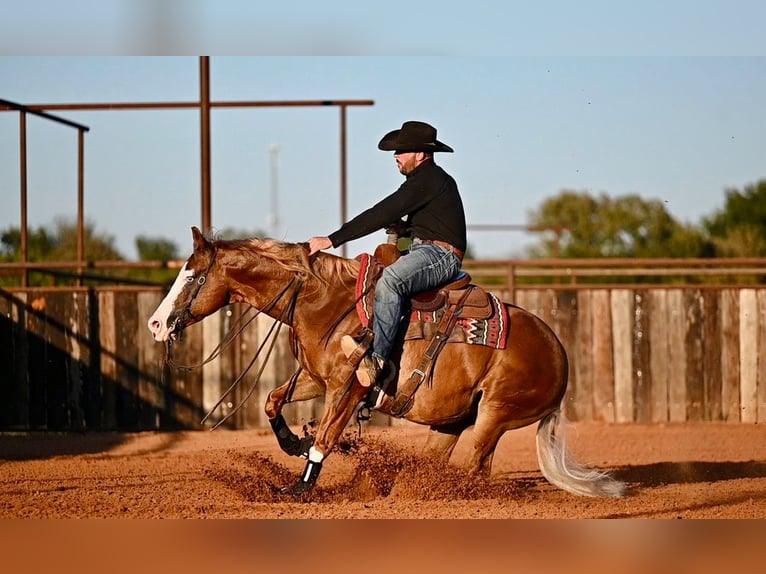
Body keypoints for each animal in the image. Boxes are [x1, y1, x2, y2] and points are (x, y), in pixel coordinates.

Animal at [147, 227, 625, 498]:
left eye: (193, 276)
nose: (155, 323)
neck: (325, 301)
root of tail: (560, 354)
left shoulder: (348, 386)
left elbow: (327, 436)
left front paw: (300, 487)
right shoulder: (317, 378)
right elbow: (272, 401)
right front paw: (294, 443)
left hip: (495, 414)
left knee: (477, 468)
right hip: (451, 421)